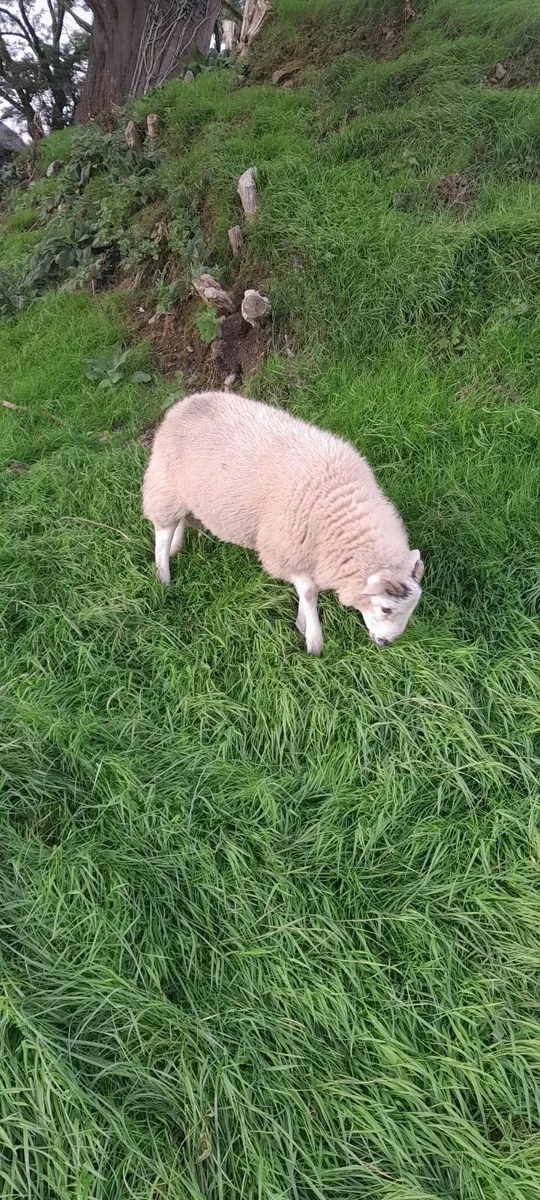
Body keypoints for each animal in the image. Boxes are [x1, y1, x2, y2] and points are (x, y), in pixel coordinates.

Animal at [142, 391, 424, 654]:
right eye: (386, 609)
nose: (386, 642)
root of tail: (186, 403)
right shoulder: (282, 548)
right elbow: (309, 592)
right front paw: (314, 640)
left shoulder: (308, 552)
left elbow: (308, 591)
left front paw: (302, 623)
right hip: (164, 485)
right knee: (162, 533)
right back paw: (164, 578)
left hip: (182, 493)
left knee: (179, 521)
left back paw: (176, 547)